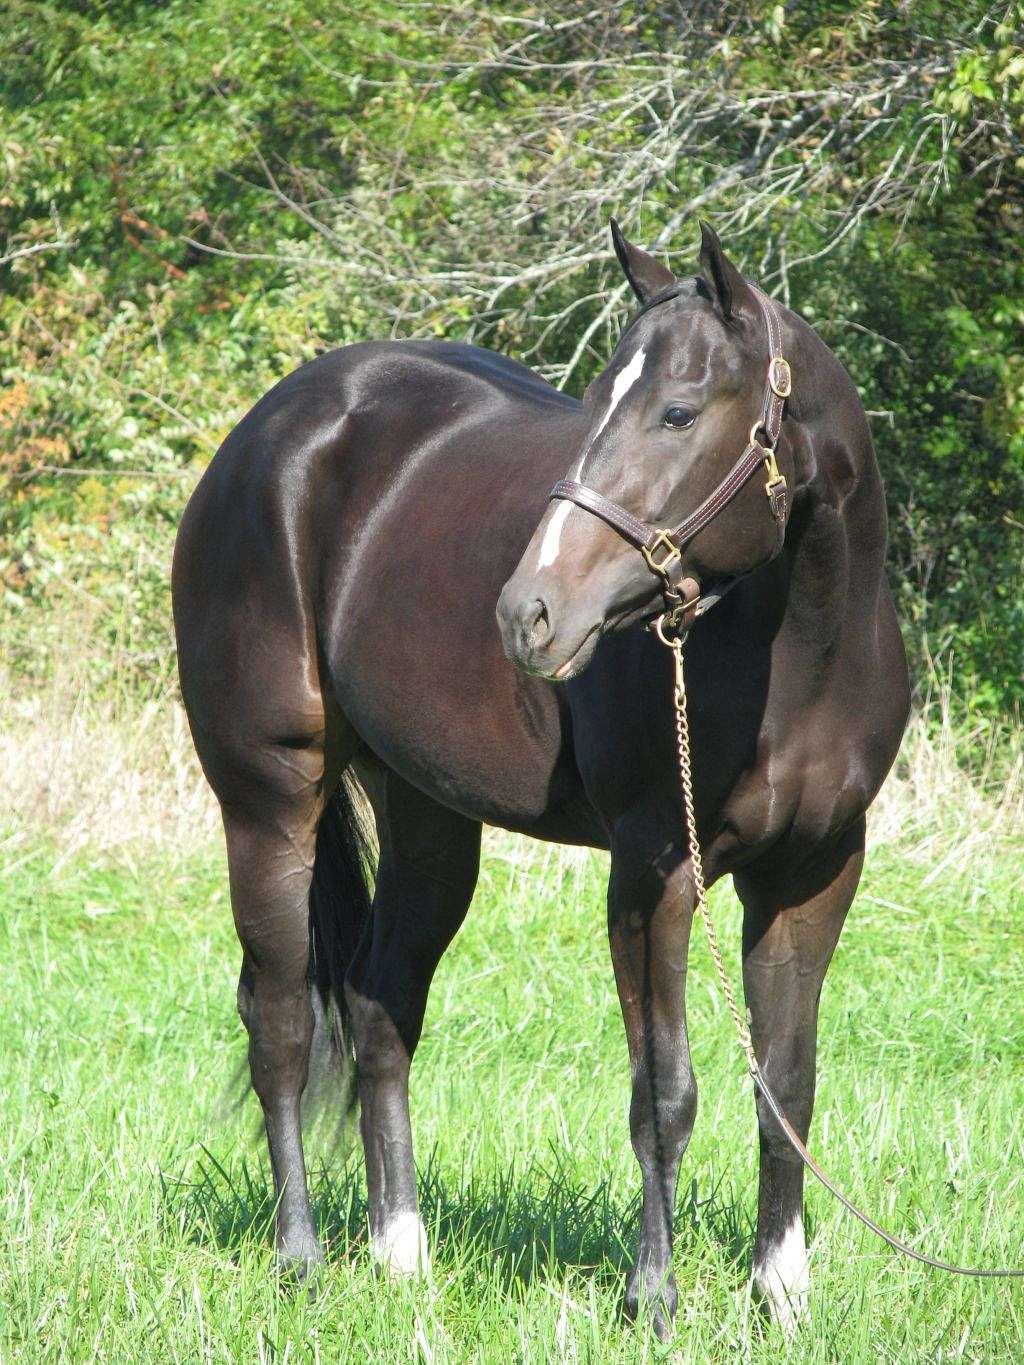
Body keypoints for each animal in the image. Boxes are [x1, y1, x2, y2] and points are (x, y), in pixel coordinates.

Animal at [172, 219, 910, 1338]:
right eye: (597, 399)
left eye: (677, 412)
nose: (529, 613)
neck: (801, 655)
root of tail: (267, 433)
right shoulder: (653, 874)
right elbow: (663, 1094)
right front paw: (653, 1298)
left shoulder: (816, 873)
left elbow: (785, 1083)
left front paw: (781, 1296)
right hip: (268, 801)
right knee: (283, 1019)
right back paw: (300, 1259)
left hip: (428, 815)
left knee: (383, 1009)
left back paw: (401, 1258)